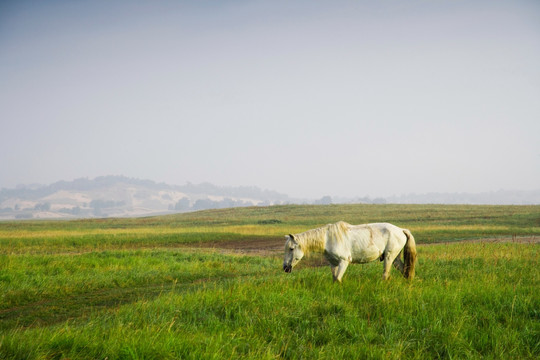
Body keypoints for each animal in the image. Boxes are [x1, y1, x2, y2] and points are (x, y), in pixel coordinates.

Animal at [282, 221, 418, 282]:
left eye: (291, 248)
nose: (285, 268)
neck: (328, 239)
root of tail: (401, 230)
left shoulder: (344, 262)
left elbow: (338, 279)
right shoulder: (333, 264)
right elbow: (335, 279)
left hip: (389, 257)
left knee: (386, 274)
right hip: (395, 258)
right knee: (405, 271)